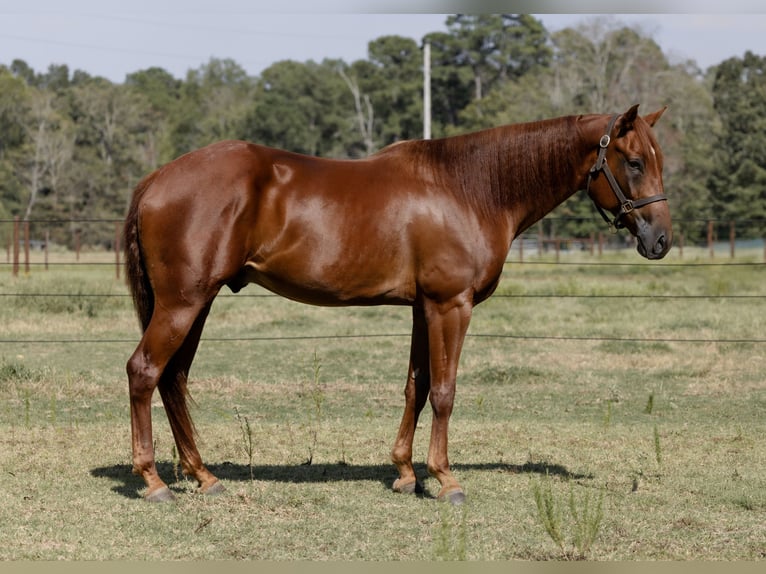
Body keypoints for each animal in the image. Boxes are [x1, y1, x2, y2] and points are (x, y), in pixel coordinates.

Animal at [124, 104, 672, 504]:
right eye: (635, 162)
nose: (661, 241)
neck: (469, 187)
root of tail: (156, 179)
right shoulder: (451, 305)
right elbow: (445, 390)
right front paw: (446, 479)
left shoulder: (421, 307)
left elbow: (417, 385)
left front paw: (406, 473)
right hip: (182, 303)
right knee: (145, 371)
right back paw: (154, 482)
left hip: (197, 304)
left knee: (173, 378)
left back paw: (203, 475)